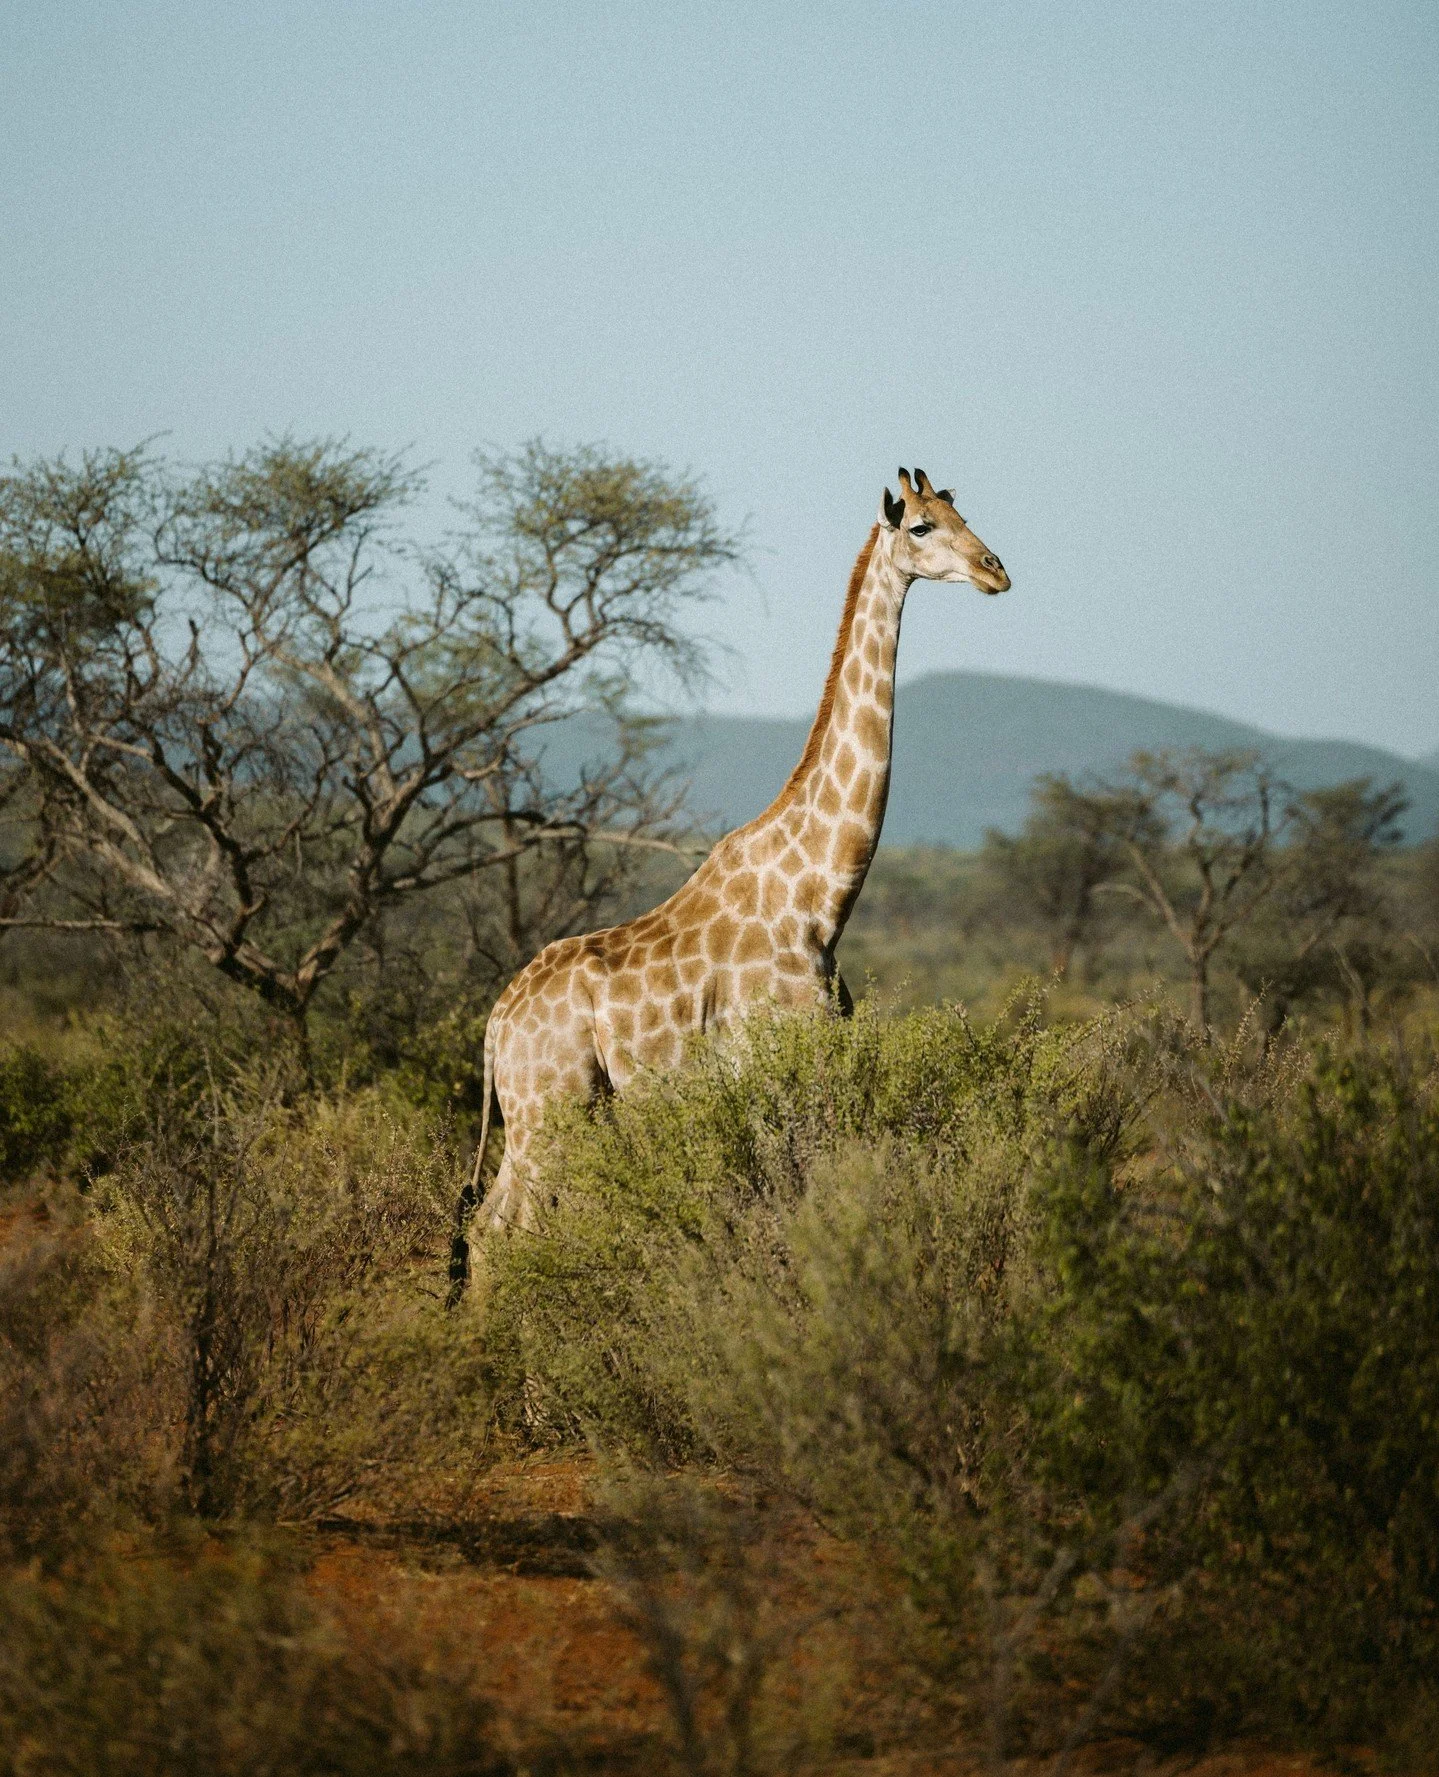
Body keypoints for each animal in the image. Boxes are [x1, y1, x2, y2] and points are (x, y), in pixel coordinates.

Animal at [451, 467, 1009, 1260]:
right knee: (504, 1232)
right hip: (550, 1108)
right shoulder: (782, 1066)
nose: (996, 571)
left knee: (489, 1224)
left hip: (555, 1110)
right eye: (921, 527)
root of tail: (497, 1024)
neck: (818, 898)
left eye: (963, 512)